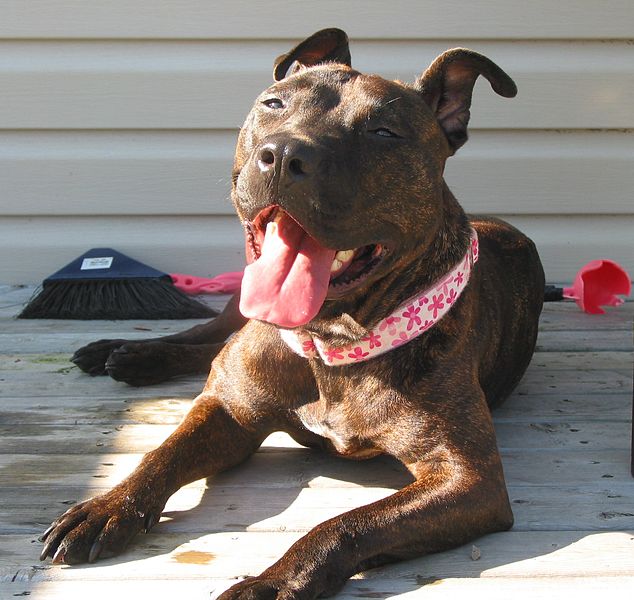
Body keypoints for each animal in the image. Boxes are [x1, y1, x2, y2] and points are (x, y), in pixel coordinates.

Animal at [40, 30, 544, 596]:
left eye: (383, 132)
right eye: (274, 104)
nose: (283, 154)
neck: (329, 341)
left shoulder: (467, 478)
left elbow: (348, 523)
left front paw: (273, 581)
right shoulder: (228, 411)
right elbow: (162, 453)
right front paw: (108, 505)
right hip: (236, 315)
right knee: (204, 336)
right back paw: (124, 352)